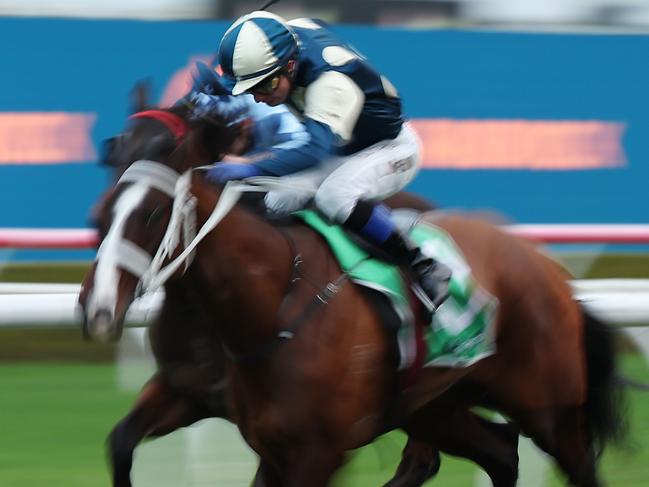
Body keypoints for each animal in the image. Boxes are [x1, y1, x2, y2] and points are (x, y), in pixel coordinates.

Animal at [82, 102, 624, 484]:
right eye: (99, 215)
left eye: (153, 214)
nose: (97, 308)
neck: (271, 305)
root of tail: (548, 267)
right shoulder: (213, 408)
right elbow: (120, 443)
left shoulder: (314, 454)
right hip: (438, 407)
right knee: (500, 453)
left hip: (550, 411)